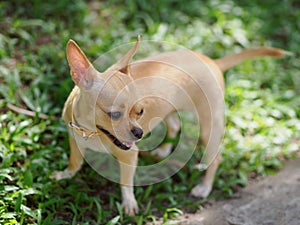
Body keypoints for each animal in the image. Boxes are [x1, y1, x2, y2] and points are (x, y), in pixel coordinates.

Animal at [51, 37, 286, 216]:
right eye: (114, 114)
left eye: (140, 112)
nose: (139, 132)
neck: (90, 132)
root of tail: (212, 62)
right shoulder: (74, 140)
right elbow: (75, 162)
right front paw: (65, 175)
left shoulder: (129, 155)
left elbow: (126, 182)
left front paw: (129, 203)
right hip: (169, 109)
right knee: (174, 125)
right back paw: (164, 151)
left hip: (209, 126)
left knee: (215, 157)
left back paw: (204, 187)